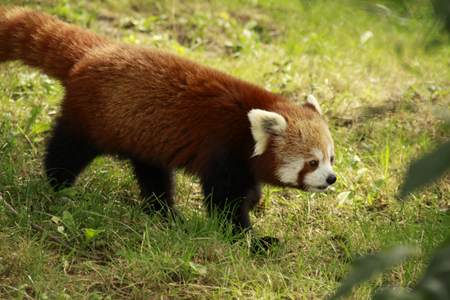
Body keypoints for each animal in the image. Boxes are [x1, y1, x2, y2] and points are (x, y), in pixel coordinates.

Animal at [0, 6, 336, 248]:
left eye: (332, 159)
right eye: (312, 162)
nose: (331, 178)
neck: (245, 128)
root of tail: (96, 51)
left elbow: (246, 191)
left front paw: (253, 204)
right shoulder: (222, 151)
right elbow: (224, 203)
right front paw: (252, 241)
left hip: (142, 135)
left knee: (154, 176)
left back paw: (165, 214)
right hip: (92, 119)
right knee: (67, 151)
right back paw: (57, 185)